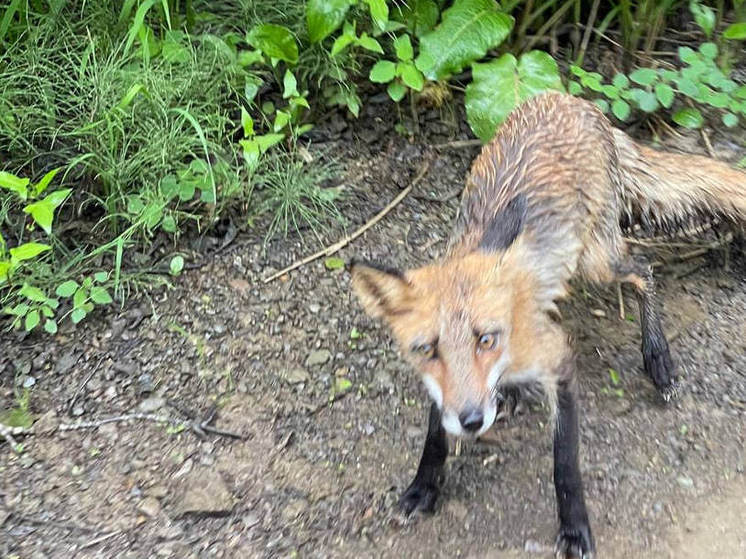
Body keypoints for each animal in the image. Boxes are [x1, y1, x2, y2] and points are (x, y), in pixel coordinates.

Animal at [348, 93, 744, 559]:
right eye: (428, 350)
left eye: (487, 339)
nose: (471, 421)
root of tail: (573, 100)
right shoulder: (444, 389)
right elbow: (434, 436)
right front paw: (423, 488)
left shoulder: (559, 364)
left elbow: (565, 466)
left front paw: (574, 530)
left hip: (598, 261)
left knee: (644, 269)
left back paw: (658, 359)